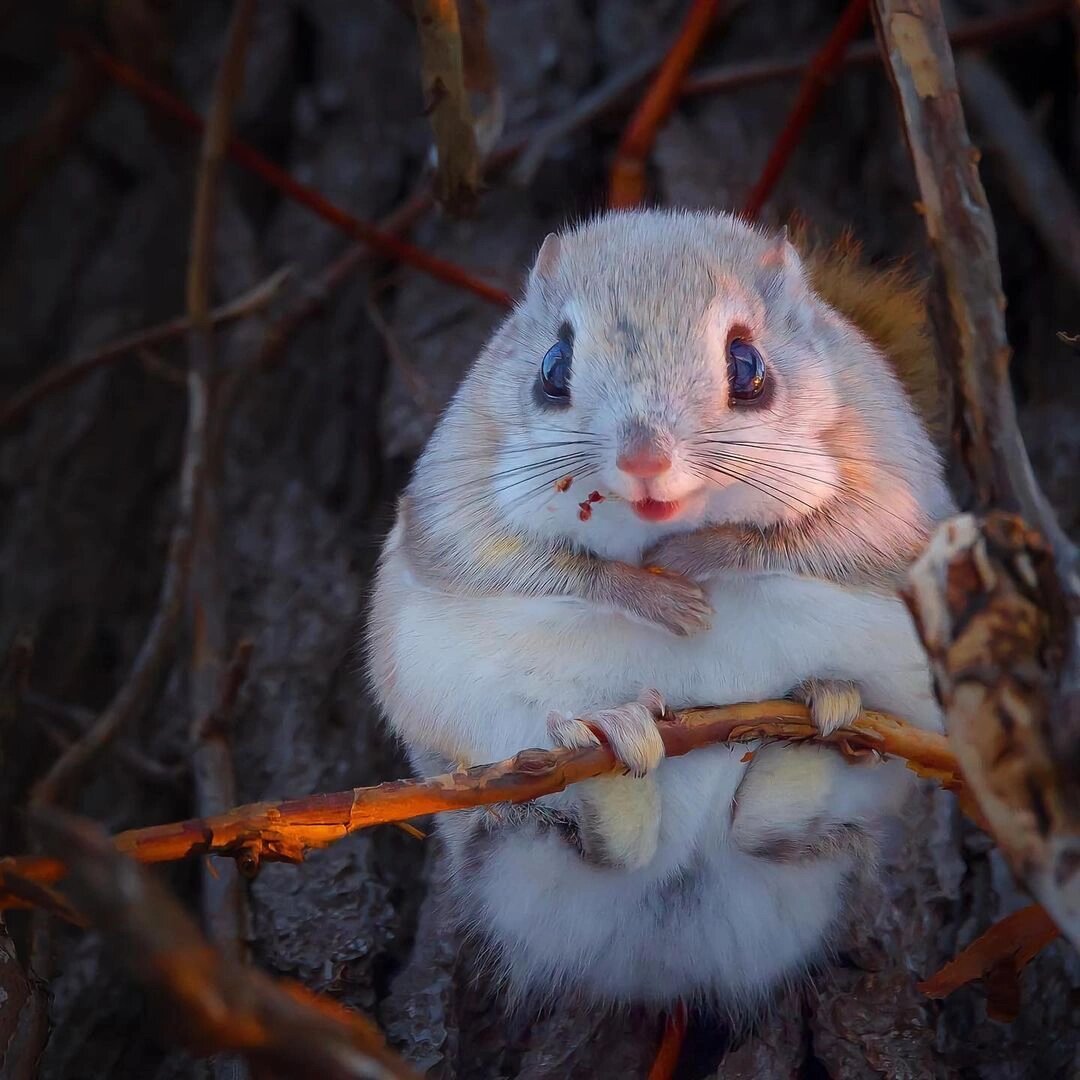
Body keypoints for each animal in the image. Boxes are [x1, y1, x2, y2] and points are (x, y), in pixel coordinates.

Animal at [369, 212, 954, 1010]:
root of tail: (667, 964)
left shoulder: (891, 496)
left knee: (780, 837)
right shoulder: (453, 506)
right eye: (553, 366)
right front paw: (655, 595)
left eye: (749, 366)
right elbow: (533, 564)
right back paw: (611, 754)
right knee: (571, 846)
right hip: (496, 802)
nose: (644, 461)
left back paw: (817, 726)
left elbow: (818, 542)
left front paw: (699, 558)